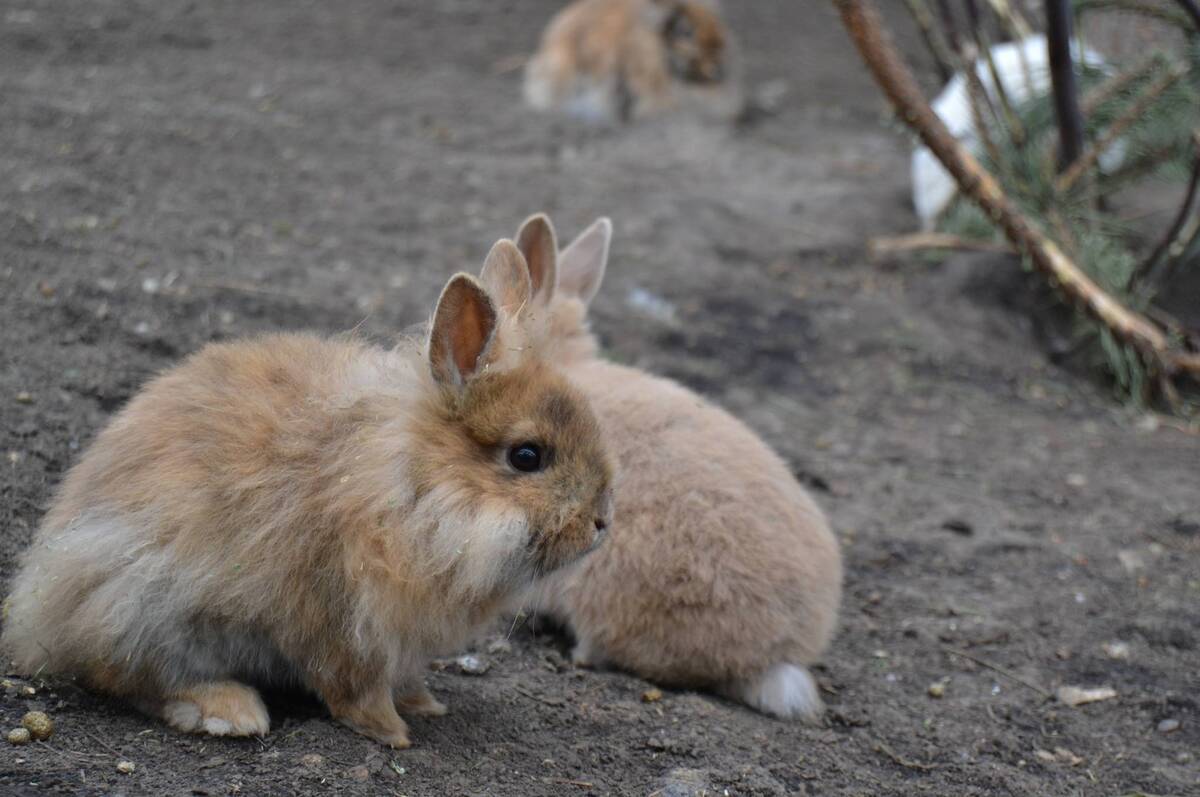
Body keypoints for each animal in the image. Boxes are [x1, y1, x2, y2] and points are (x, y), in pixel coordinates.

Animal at [0, 240, 614, 748]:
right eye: (527, 457)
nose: (602, 522)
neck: (415, 485)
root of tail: (39, 609)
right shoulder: (347, 620)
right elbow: (355, 689)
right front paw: (393, 735)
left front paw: (426, 705)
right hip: (144, 602)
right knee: (128, 673)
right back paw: (231, 712)